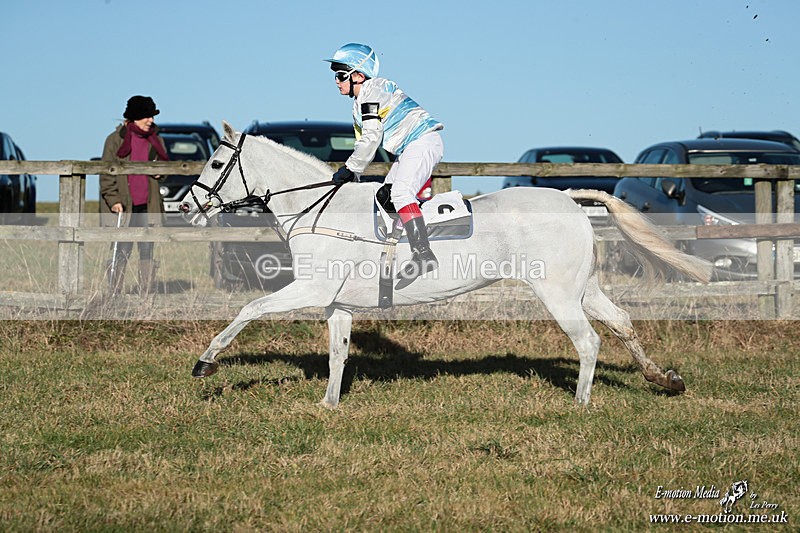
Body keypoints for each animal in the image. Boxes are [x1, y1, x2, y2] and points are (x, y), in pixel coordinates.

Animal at [180, 121, 712, 408]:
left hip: (558, 293)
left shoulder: (311, 291)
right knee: (620, 321)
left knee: (589, 340)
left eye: (214, 164)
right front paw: (329, 404)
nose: (187, 205)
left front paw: (206, 363)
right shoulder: (337, 305)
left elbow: (248, 310)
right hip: (583, 287)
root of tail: (568, 198)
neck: (317, 209)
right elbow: (337, 354)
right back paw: (664, 379)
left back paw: (581, 403)